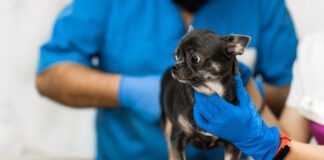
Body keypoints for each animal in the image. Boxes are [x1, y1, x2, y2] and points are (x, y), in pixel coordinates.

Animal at [160, 26, 251, 160]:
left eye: (195, 58)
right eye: (175, 56)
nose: (174, 67)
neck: (209, 92)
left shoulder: (233, 146)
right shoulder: (177, 138)